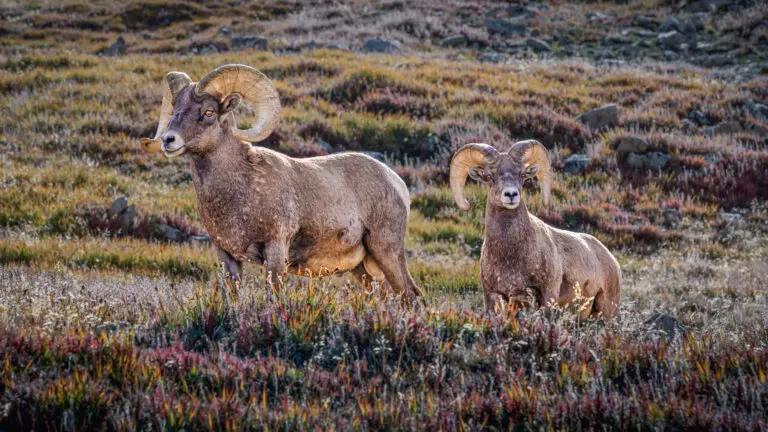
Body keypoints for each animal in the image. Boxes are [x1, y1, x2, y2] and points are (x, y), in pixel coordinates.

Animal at [141, 64, 423, 304]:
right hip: (362, 268)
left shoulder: (275, 250)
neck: (239, 191)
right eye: (175, 107)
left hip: (386, 251)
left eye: (207, 112)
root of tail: (396, 182)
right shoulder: (227, 256)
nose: (168, 140)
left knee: (412, 296)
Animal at [449, 140, 621, 318]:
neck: (509, 255)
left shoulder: (547, 295)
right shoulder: (492, 296)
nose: (511, 194)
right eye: (490, 177)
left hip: (606, 308)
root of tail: (612, 261)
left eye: (522, 175)